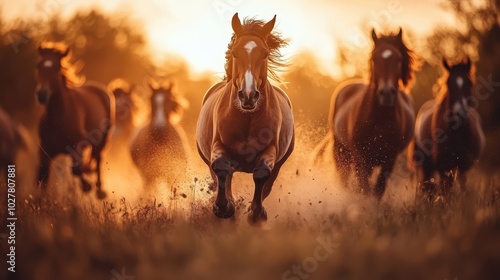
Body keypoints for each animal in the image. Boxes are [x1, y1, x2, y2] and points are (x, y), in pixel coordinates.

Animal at [35, 42, 114, 198]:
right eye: (38, 66)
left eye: (56, 68)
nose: (42, 94)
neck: (58, 117)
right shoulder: (45, 150)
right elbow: (42, 177)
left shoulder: (77, 146)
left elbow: (76, 169)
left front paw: (87, 186)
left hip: (101, 140)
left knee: (98, 158)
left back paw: (99, 190)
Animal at [197, 13, 294, 224]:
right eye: (235, 52)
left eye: (265, 53)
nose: (248, 96)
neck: (247, 120)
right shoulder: (218, 145)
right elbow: (221, 168)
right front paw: (223, 208)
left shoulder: (270, 150)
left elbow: (262, 174)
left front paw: (256, 213)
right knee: (222, 176)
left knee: (268, 183)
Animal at [314, 28, 416, 200]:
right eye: (374, 58)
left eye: (398, 59)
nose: (386, 93)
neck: (379, 120)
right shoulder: (360, 158)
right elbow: (364, 187)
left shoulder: (389, 160)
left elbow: (378, 189)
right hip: (341, 152)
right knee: (344, 179)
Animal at [410, 58, 484, 200]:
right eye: (449, 83)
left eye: (470, 84)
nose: (460, 113)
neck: (455, 133)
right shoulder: (443, 166)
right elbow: (445, 190)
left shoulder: (462, 165)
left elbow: (460, 188)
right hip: (427, 164)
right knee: (429, 185)